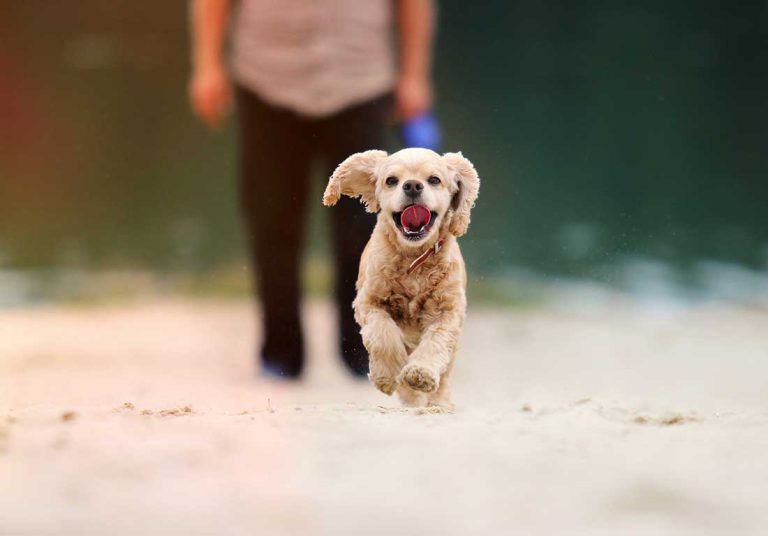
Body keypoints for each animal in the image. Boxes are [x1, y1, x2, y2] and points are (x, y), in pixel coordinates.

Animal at [320, 147, 476, 406]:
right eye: (391, 180)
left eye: (434, 180)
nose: (412, 185)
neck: (413, 257)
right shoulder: (369, 302)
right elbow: (383, 334)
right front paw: (387, 377)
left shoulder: (447, 311)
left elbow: (436, 342)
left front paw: (421, 374)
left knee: (444, 376)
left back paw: (438, 404)